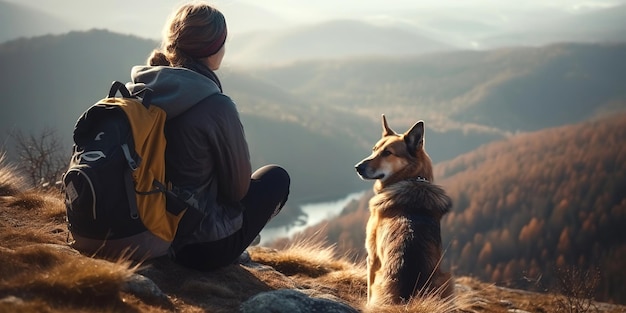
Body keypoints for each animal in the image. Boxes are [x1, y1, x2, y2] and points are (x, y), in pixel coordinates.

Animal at [354, 114, 450, 304]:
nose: (358, 167)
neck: (411, 178)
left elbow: (368, 290)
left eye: (387, 153)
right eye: (374, 149)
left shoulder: (372, 258)